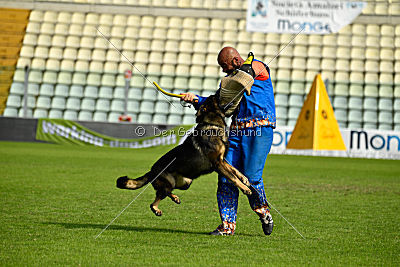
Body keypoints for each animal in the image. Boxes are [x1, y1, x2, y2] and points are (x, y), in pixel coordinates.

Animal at [116, 95, 253, 217]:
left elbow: (235, 170)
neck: (212, 125)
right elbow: (232, 177)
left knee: (165, 192)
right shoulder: (218, 164)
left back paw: (174, 198)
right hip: (170, 182)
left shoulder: (222, 161)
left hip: (186, 182)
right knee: (156, 199)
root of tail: (151, 171)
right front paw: (245, 188)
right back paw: (157, 209)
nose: (218, 91)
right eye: (213, 97)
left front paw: (244, 179)